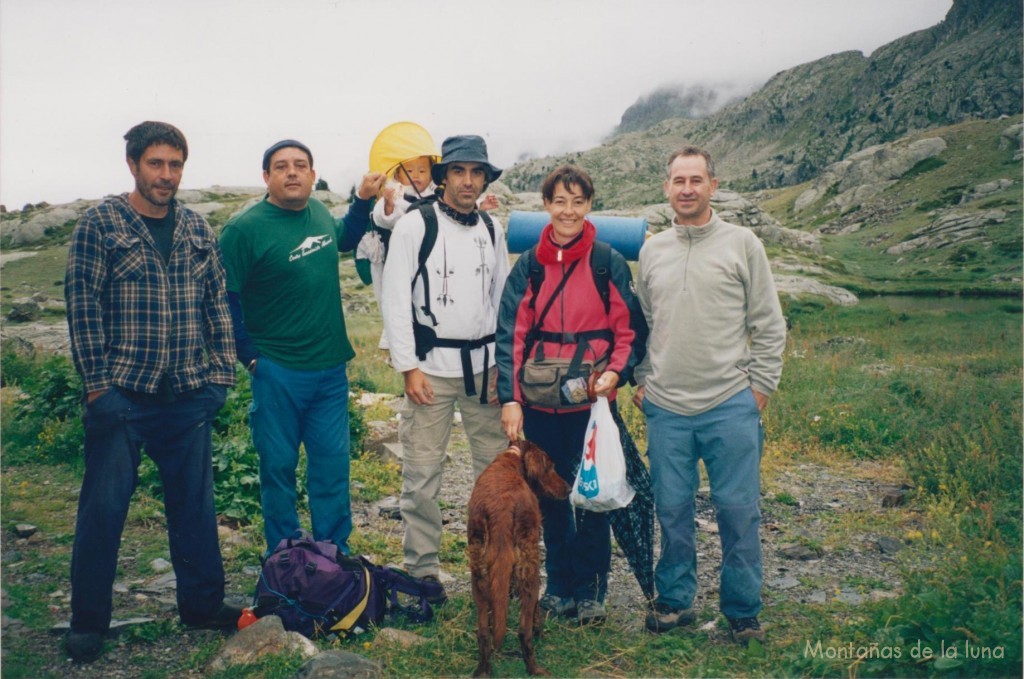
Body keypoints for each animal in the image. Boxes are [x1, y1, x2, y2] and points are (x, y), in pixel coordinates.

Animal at [468, 438, 573, 675]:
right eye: (550, 467)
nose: (569, 488)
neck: (513, 458)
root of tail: (500, 509)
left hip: (478, 572)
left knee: (483, 633)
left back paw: (483, 671)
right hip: (530, 568)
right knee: (524, 630)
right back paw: (535, 668)